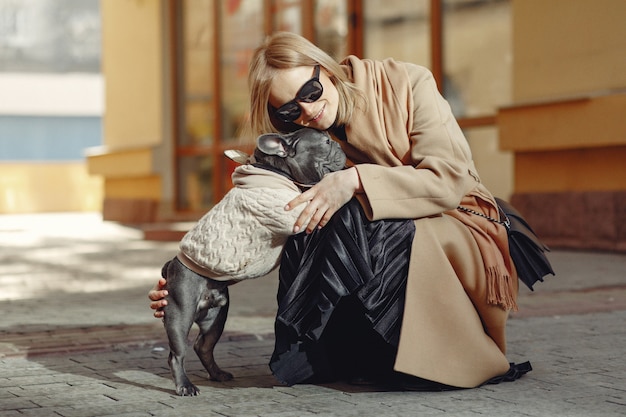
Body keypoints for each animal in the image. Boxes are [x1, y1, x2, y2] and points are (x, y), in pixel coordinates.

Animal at [161, 128, 344, 394]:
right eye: (327, 142)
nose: (340, 145)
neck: (275, 171)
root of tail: (172, 264)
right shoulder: (298, 214)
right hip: (180, 312)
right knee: (177, 354)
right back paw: (185, 385)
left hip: (217, 316)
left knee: (203, 346)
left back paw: (217, 375)